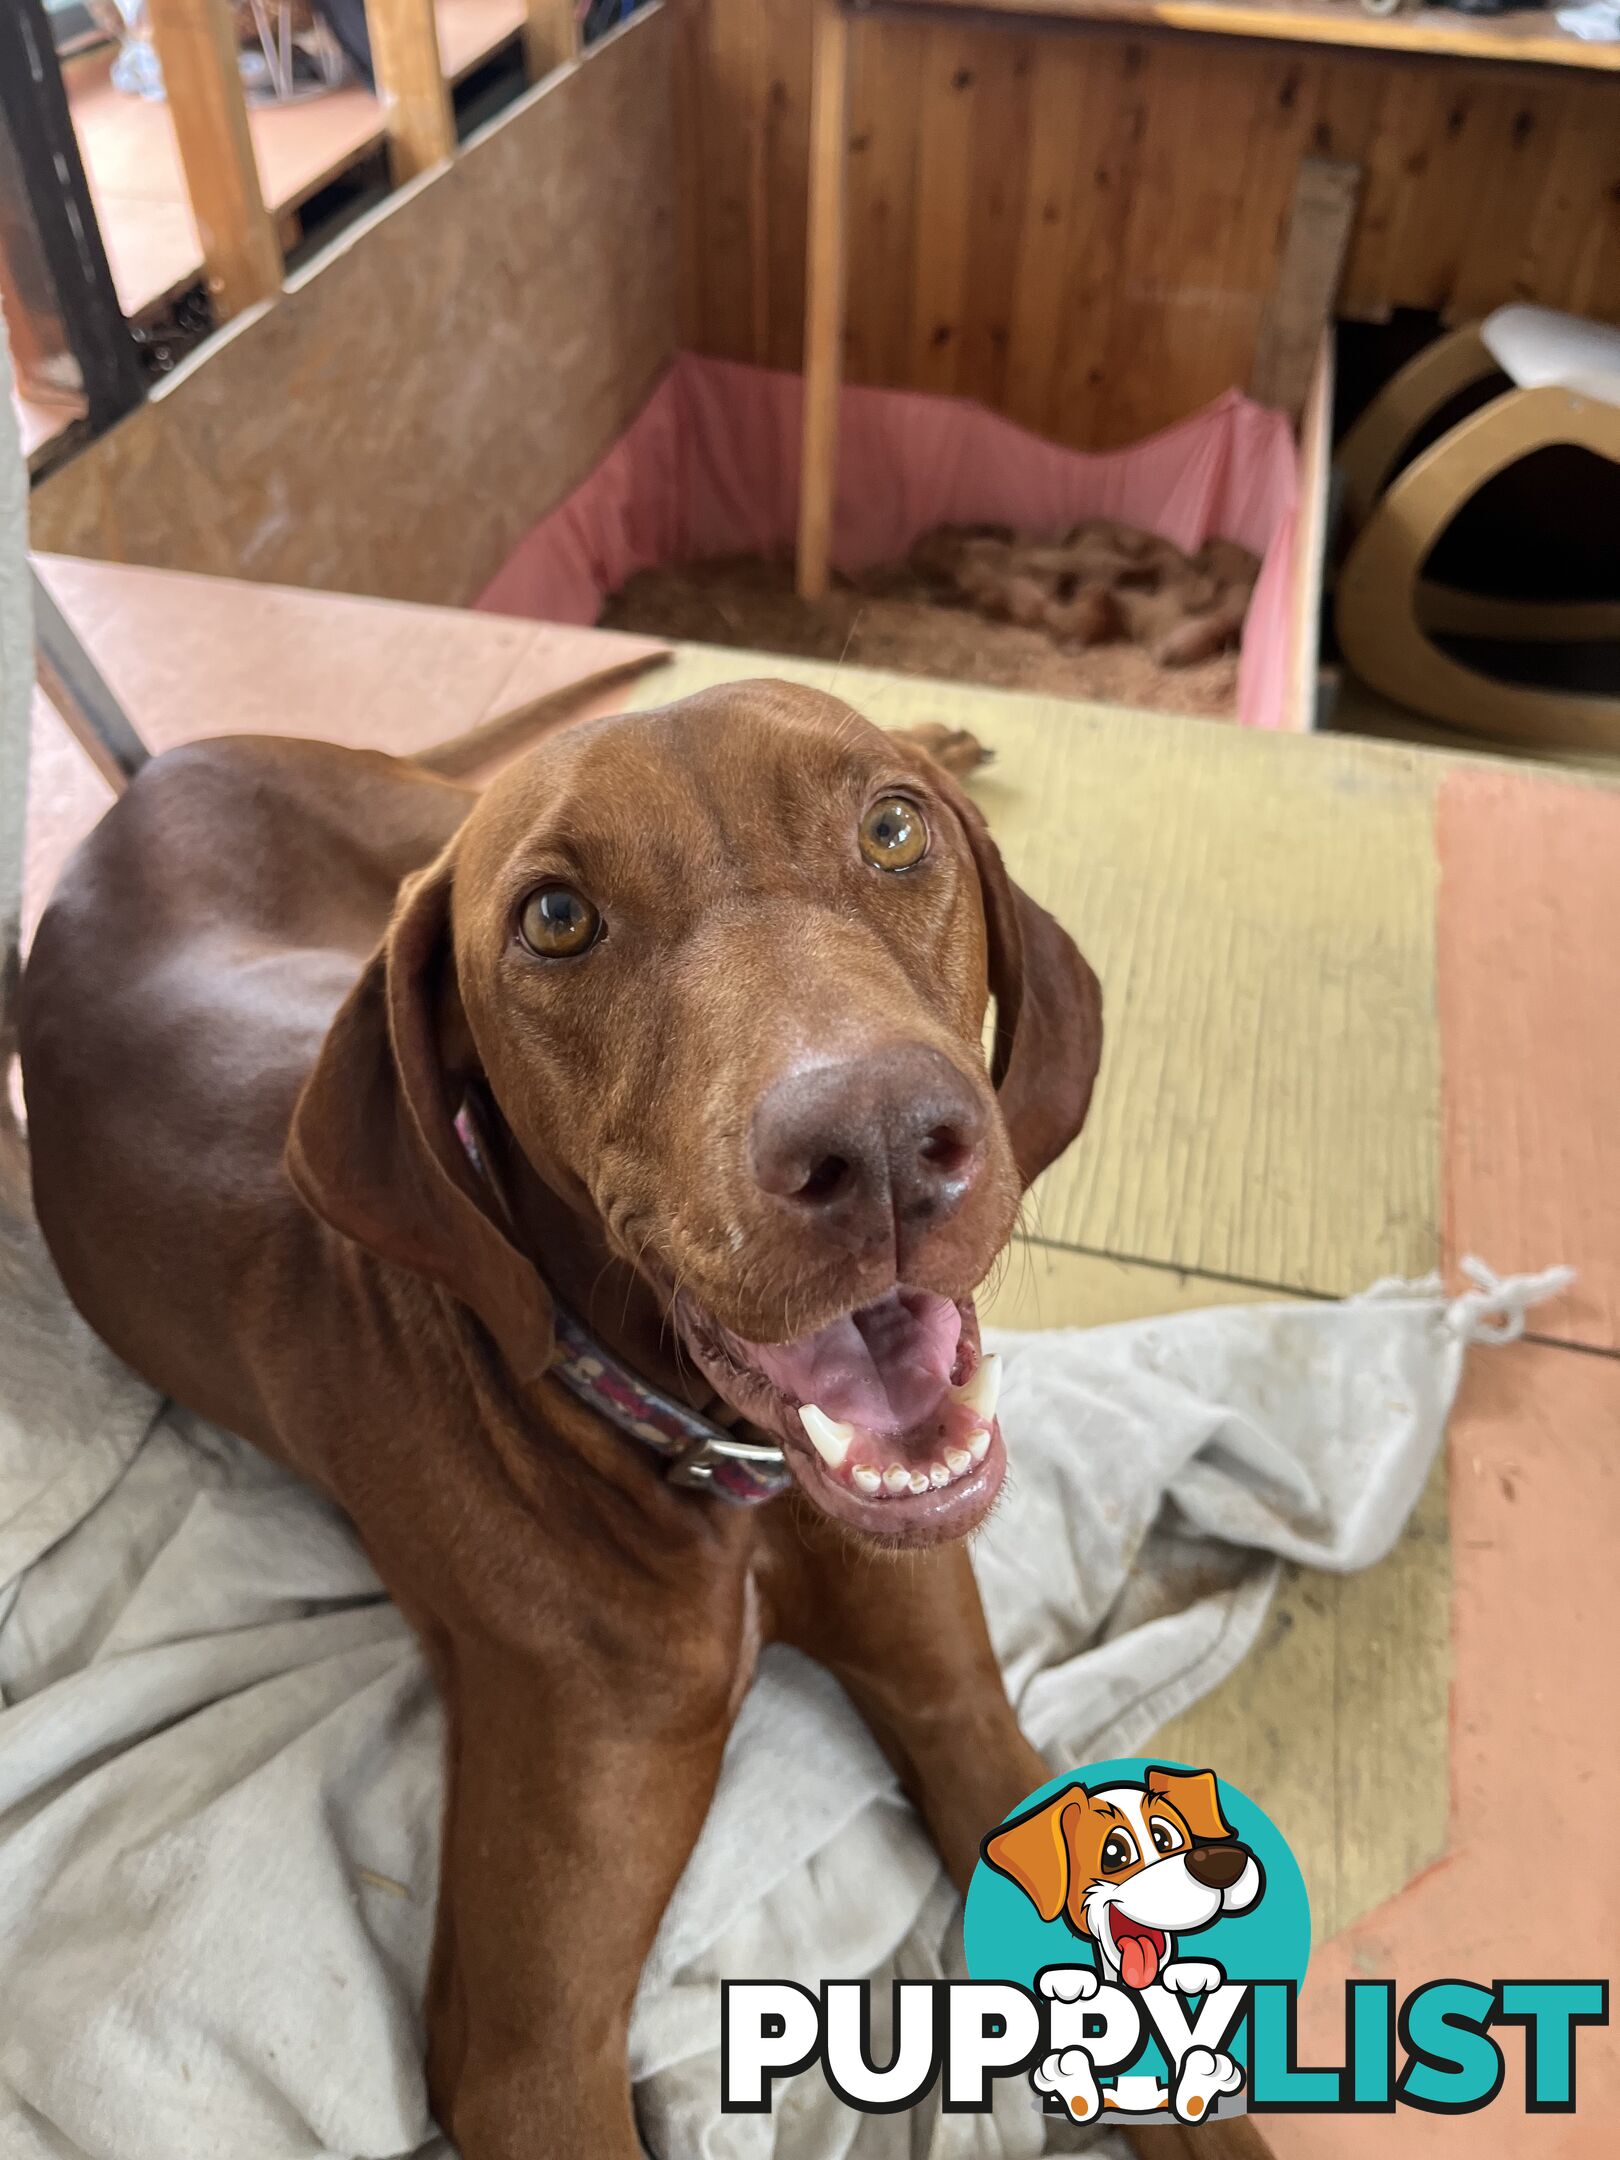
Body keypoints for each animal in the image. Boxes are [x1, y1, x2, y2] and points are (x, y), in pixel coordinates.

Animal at [19, 682, 1105, 2160]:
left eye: (892, 831)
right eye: (554, 919)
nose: (881, 1143)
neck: (717, 1475)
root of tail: (150, 781)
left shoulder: (969, 1731)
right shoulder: (531, 2058)